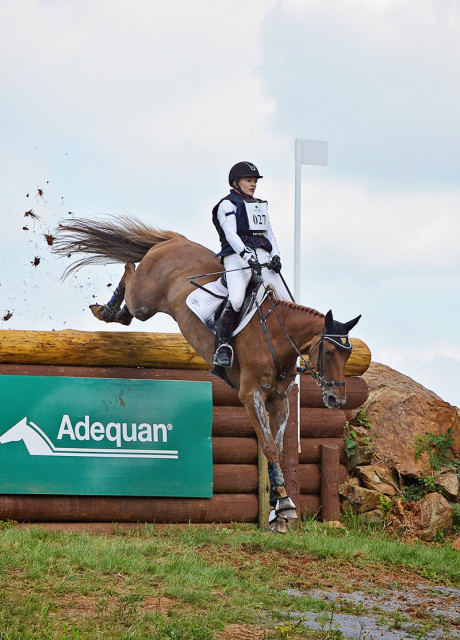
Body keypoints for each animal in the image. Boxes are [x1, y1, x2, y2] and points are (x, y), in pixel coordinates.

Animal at [53, 218, 360, 532]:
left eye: (347, 355)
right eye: (328, 353)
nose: (336, 399)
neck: (276, 335)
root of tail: (175, 241)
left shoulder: (279, 402)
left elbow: (275, 446)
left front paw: (279, 507)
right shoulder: (251, 395)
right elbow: (269, 447)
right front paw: (284, 504)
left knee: (129, 297)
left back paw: (115, 313)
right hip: (145, 299)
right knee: (129, 271)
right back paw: (107, 309)